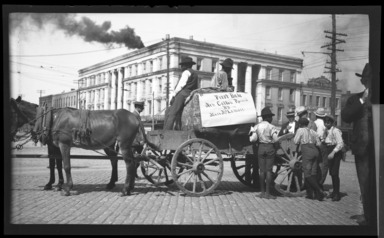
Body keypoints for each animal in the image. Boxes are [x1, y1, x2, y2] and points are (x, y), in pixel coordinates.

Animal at [10, 96, 152, 196]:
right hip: (112, 145)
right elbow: (55, 164)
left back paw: (125, 189)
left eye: (11, 112)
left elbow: (66, 166)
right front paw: (55, 184)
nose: (12, 136)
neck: (53, 118)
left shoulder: (64, 145)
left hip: (125, 144)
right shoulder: (54, 146)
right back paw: (120, 185)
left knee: (130, 164)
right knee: (121, 161)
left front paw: (67, 187)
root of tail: (134, 117)